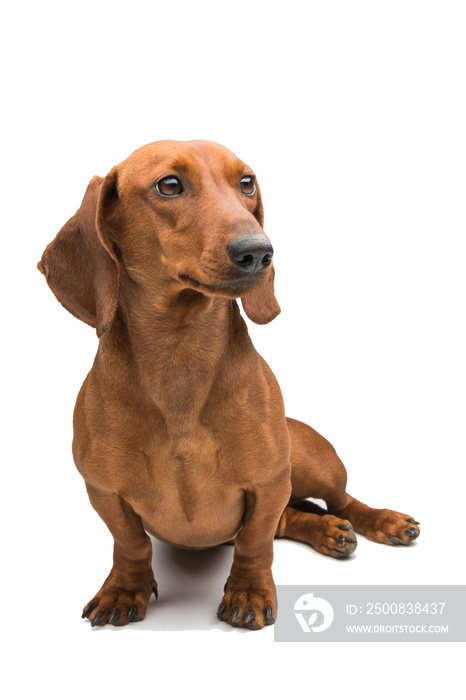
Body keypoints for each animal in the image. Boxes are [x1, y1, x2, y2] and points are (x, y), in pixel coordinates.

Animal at [38, 139, 420, 632]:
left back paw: (382, 522)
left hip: (316, 464)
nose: (259, 251)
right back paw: (326, 531)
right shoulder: (104, 492)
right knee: (291, 519)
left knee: (340, 502)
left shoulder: (270, 482)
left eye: (247, 183)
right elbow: (131, 544)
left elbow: (255, 542)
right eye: (169, 185)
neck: (179, 359)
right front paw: (124, 587)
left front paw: (249, 592)